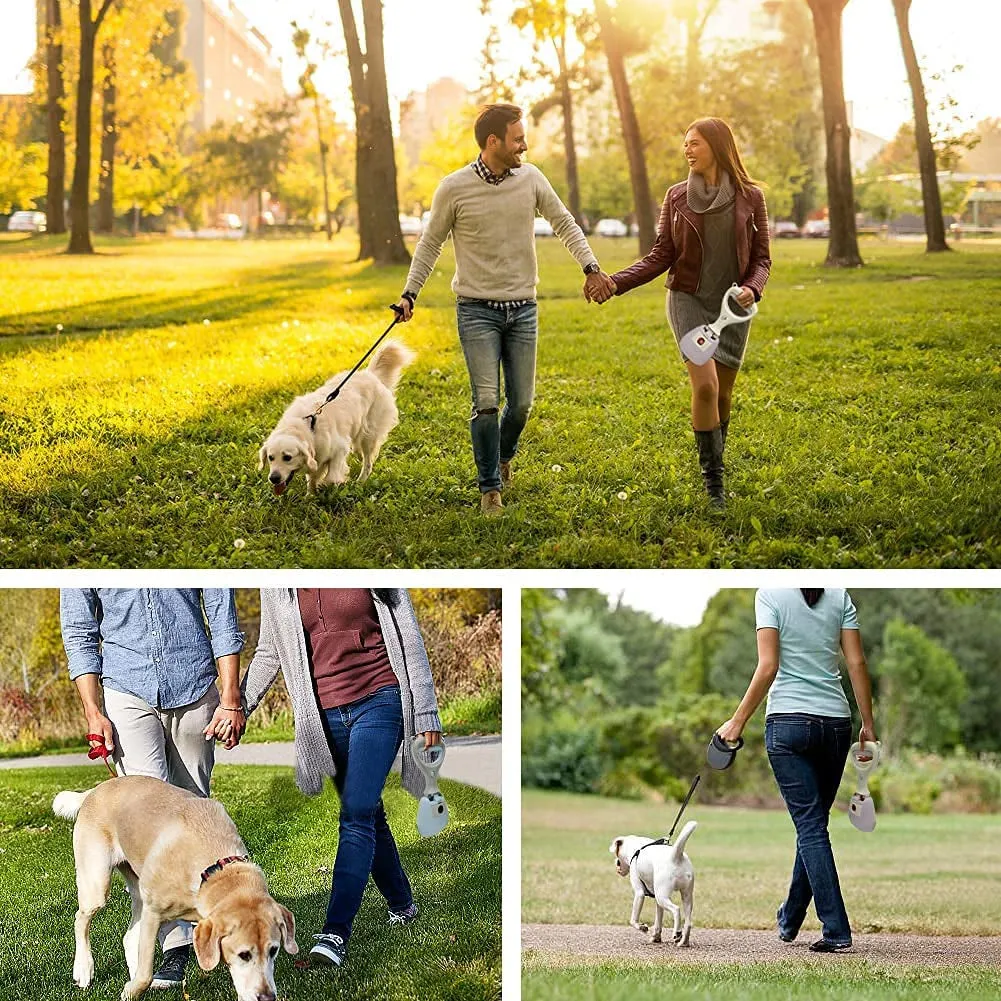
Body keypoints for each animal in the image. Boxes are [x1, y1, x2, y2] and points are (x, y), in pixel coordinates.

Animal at [53, 772, 296, 1001]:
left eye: (273, 951)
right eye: (244, 954)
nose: (267, 997)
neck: (214, 868)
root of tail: (94, 790)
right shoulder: (153, 913)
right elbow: (146, 974)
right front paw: (131, 991)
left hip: (138, 891)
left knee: (128, 937)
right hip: (97, 885)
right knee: (81, 919)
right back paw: (84, 969)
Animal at [260, 338, 416, 494]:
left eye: (287, 457)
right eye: (271, 457)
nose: (273, 478)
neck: (308, 426)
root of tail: (370, 374)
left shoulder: (339, 448)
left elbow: (332, 475)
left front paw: (330, 484)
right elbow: (312, 478)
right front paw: (310, 494)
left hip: (369, 435)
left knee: (368, 462)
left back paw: (360, 481)